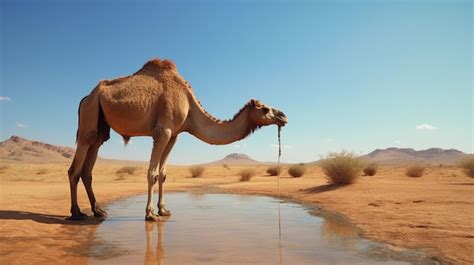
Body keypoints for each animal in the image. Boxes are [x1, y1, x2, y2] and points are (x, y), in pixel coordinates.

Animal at [68, 58, 286, 221]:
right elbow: (152, 173)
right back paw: (77, 213)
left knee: (90, 164)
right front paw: (150, 214)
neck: (189, 104)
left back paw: (98, 211)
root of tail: (85, 97)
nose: (283, 116)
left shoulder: (174, 135)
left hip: (100, 125)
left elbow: (163, 174)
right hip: (90, 113)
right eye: (265, 109)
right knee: (75, 168)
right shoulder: (163, 131)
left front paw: (163, 210)